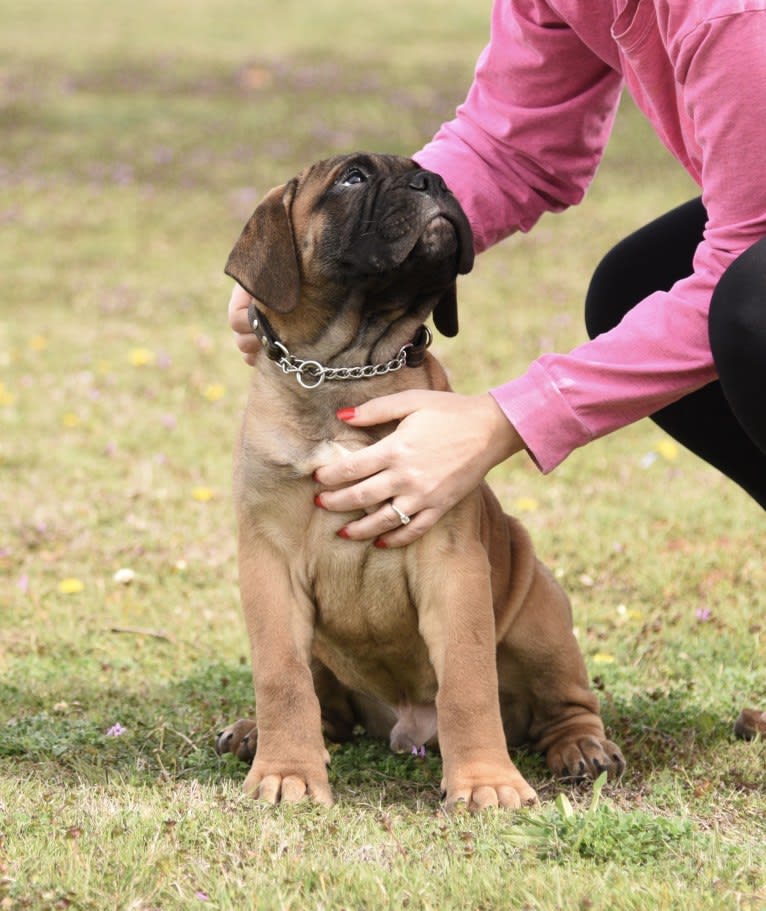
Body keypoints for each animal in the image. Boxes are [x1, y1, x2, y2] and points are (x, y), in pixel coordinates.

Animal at [214, 153, 624, 808]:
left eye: (426, 172)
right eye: (352, 179)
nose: (433, 180)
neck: (347, 370)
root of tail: (407, 725)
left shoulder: (450, 563)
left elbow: (468, 681)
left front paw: (486, 783)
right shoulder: (268, 563)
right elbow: (282, 677)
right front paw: (286, 771)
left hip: (541, 616)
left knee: (567, 703)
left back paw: (581, 746)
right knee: (325, 707)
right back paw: (258, 732)